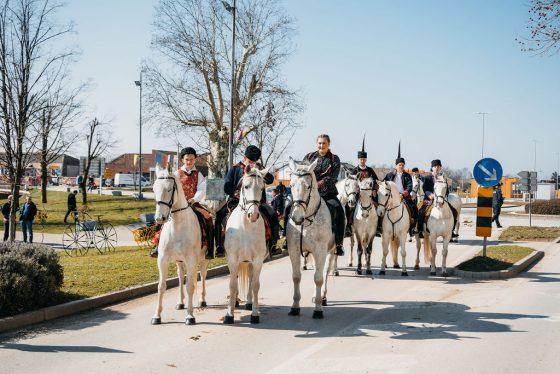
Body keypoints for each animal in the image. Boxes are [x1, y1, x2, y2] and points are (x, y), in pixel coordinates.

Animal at [151, 164, 208, 324]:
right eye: (154, 189)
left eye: (169, 189)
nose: (159, 218)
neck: (177, 226)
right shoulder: (162, 260)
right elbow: (161, 286)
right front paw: (157, 316)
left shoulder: (191, 260)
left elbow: (190, 286)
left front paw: (190, 316)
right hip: (179, 261)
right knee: (181, 276)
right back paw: (181, 302)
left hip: (203, 259)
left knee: (202, 275)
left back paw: (202, 300)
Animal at [222, 165, 270, 322]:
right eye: (246, 186)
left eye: (262, 188)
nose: (253, 215)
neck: (246, 227)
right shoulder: (232, 259)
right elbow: (232, 285)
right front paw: (229, 314)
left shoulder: (258, 260)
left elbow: (255, 284)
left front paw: (255, 314)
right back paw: (236, 301)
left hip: (250, 261)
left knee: (250, 278)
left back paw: (249, 303)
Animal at [286, 158, 334, 318]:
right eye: (291, 185)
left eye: (308, 186)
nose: (296, 217)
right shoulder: (293, 250)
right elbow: (296, 277)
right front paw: (295, 307)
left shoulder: (320, 250)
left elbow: (318, 278)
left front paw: (318, 310)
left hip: (331, 250)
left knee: (324, 271)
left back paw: (322, 297)